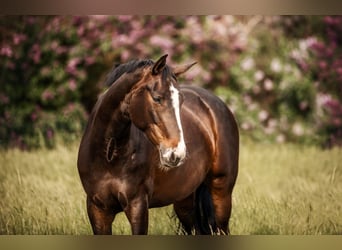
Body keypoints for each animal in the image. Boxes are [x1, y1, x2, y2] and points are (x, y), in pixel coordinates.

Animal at [77, 54, 238, 234]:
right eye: (157, 98)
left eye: (181, 100)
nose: (177, 153)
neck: (109, 156)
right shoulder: (98, 210)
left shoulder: (137, 205)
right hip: (184, 201)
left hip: (221, 192)